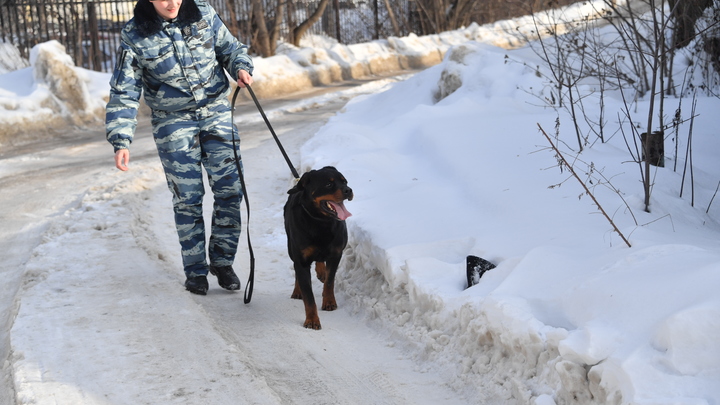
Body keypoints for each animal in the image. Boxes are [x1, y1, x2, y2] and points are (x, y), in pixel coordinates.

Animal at [286, 165, 354, 328]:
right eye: (329, 184)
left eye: (345, 181)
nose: (348, 190)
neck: (321, 222)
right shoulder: (302, 260)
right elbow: (308, 296)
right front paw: (312, 320)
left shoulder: (336, 254)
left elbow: (330, 281)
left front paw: (329, 302)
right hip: (291, 249)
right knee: (296, 270)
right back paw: (297, 290)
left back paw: (321, 271)